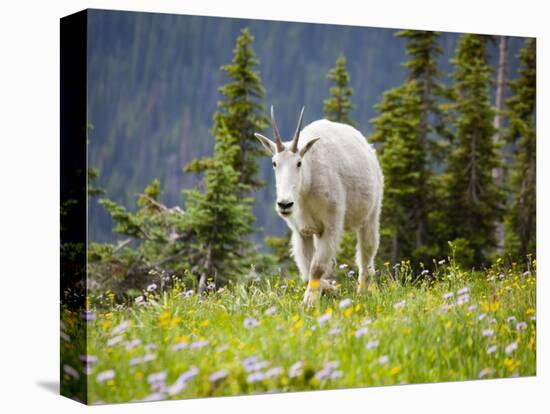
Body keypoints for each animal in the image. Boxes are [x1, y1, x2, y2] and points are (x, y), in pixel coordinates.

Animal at [254, 108, 384, 306]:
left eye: (299, 163)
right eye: (274, 163)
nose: (284, 204)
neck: (306, 187)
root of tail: (368, 147)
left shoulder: (331, 224)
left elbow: (316, 267)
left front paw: (309, 302)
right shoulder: (301, 231)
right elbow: (307, 271)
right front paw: (330, 289)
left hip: (371, 214)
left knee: (366, 254)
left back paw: (362, 292)